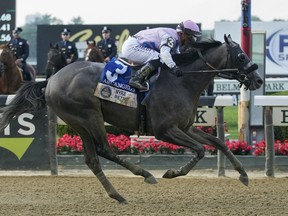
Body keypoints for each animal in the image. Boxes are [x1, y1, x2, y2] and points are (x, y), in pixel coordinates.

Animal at [0, 34, 262, 203]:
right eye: (241, 56)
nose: (258, 79)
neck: (182, 80)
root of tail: (51, 79)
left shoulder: (185, 126)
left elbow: (218, 142)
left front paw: (243, 175)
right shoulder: (164, 130)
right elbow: (199, 150)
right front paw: (171, 173)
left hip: (78, 122)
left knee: (92, 159)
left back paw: (117, 195)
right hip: (89, 116)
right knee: (105, 150)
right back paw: (145, 175)